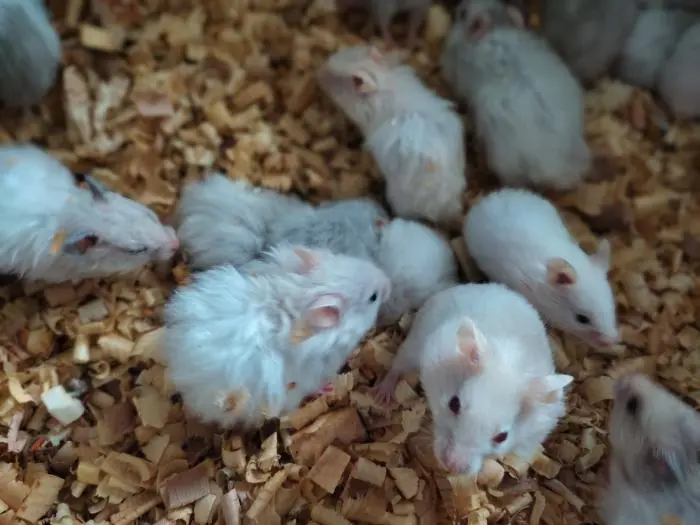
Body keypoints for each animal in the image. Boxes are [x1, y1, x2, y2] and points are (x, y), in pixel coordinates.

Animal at [374, 283, 573, 475]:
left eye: (502, 437)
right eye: (454, 404)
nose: (452, 467)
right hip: (415, 342)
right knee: (397, 366)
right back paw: (382, 396)